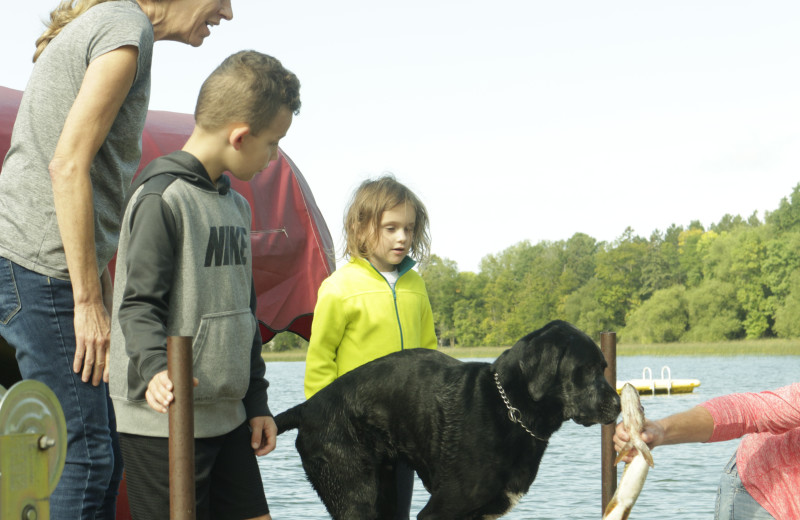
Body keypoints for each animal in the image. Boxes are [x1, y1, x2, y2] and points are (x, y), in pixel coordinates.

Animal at [278, 318, 620, 516]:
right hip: (355, 496)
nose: (617, 404)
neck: (509, 409)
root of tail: (306, 408)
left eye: (605, 367)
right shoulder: (442, 509)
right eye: (588, 369)